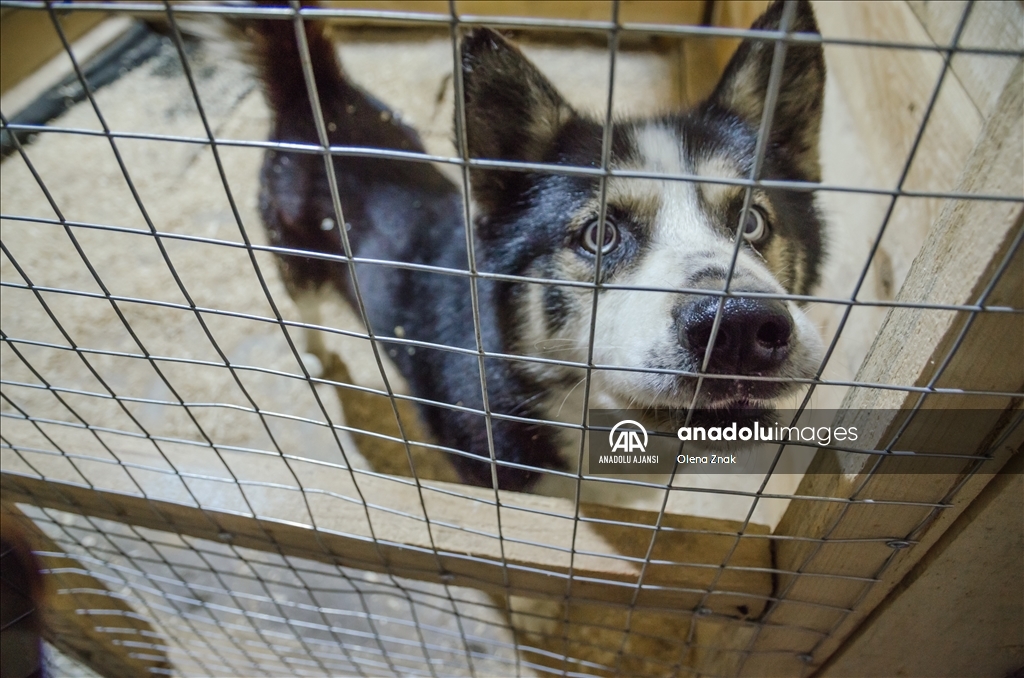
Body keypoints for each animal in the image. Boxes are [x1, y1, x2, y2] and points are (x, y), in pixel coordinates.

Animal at [243, 2, 827, 497]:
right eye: (599, 235)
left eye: (752, 221)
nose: (740, 326)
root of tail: (316, 90)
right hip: (297, 256)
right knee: (304, 304)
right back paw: (316, 354)